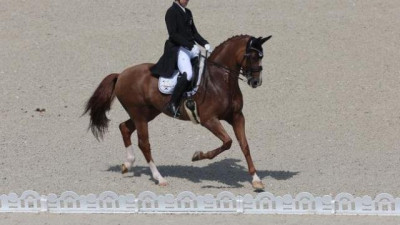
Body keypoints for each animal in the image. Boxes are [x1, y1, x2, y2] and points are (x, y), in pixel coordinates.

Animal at [83, 34, 272, 190]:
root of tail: (121, 74)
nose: (256, 81)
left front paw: (256, 180)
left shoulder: (237, 116)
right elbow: (227, 142)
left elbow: (244, 145)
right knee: (144, 143)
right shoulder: (209, 119)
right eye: (251, 56)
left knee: (124, 128)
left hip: (148, 113)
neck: (220, 81)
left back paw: (127, 164)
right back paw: (159, 178)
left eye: (261, 56)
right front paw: (198, 156)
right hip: (139, 114)